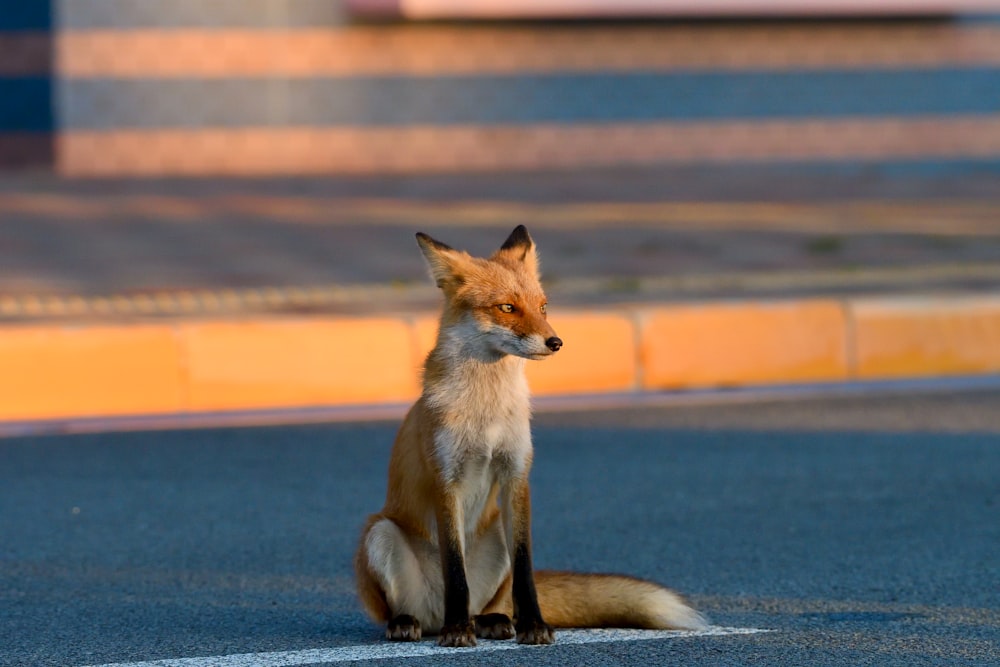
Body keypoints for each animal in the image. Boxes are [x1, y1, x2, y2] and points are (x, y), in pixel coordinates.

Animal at [356, 226, 708, 648]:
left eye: (543, 307)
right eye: (507, 308)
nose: (556, 343)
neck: (487, 413)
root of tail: (434, 614)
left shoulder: (516, 475)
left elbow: (526, 571)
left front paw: (534, 625)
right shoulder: (447, 479)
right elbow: (455, 571)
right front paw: (458, 632)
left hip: (495, 537)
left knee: (492, 603)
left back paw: (490, 620)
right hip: (380, 532)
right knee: (417, 610)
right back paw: (421, 622)